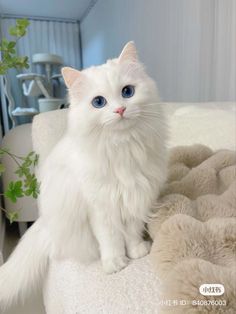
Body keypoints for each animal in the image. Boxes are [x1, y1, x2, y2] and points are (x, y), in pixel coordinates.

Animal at [0, 41, 168, 310]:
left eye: (127, 92)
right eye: (98, 102)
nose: (120, 109)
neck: (122, 148)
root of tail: (45, 225)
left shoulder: (135, 197)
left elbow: (131, 232)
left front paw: (137, 251)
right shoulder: (100, 208)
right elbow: (111, 239)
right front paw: (115, 264)